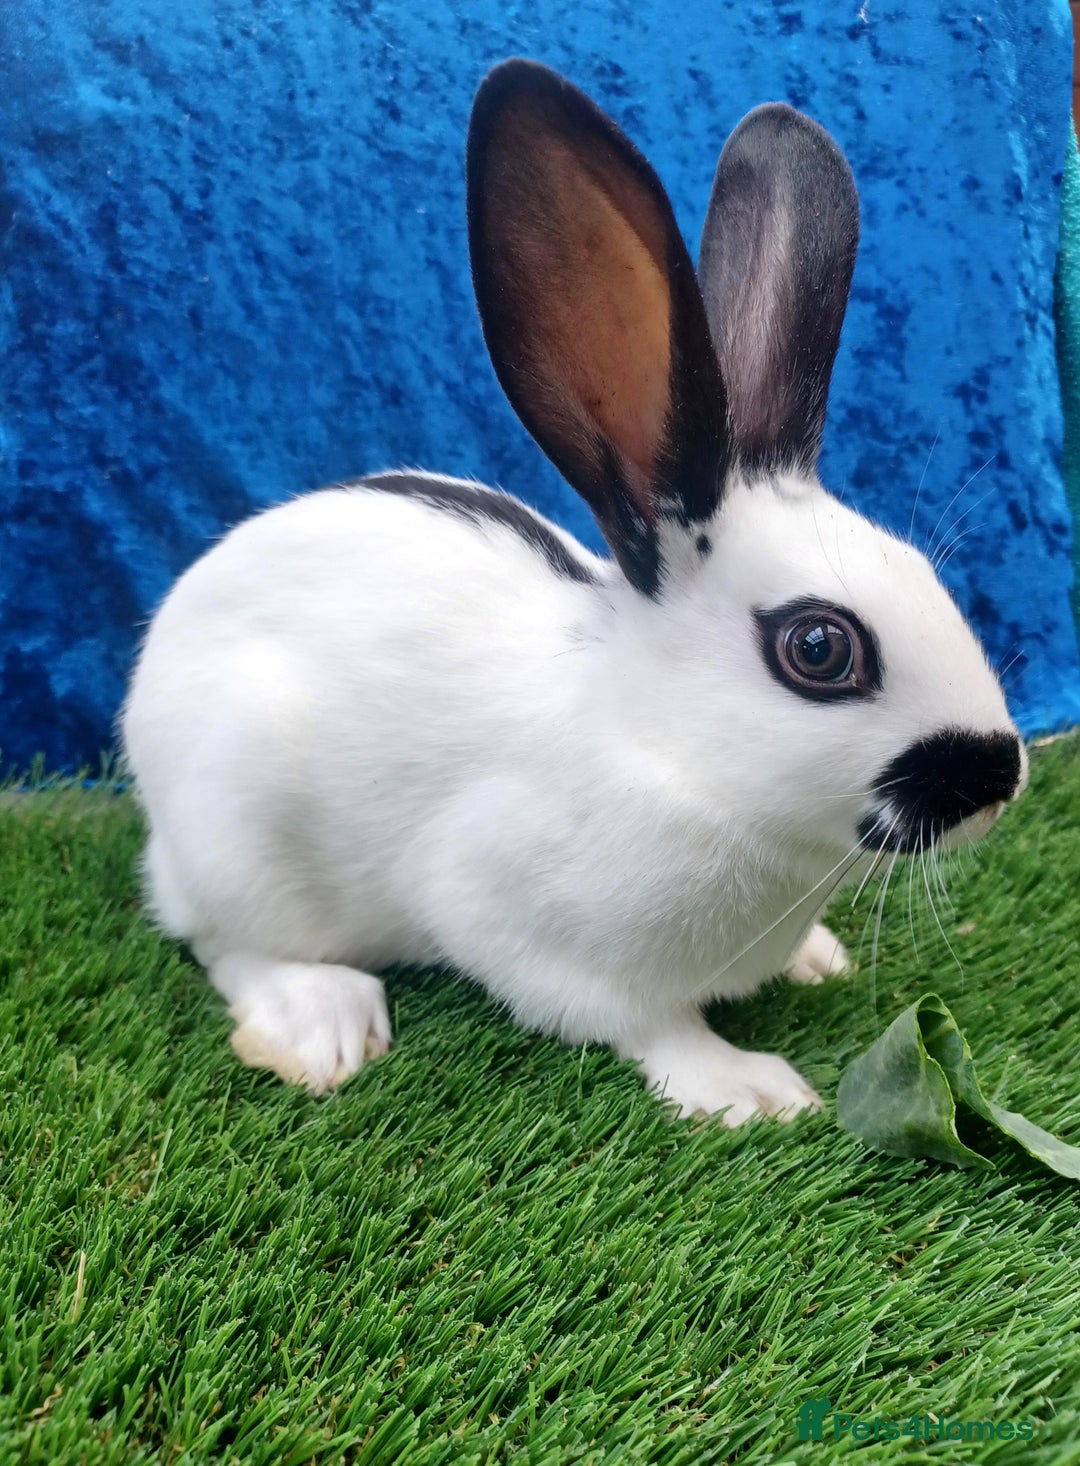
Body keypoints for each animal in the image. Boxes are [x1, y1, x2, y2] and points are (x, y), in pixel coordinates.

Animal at [122, 59, 1027, 1125]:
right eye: (819, 648)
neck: (670, 752)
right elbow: (644, 1025)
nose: (1001, 775)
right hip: (235, 827)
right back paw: (322, 1025)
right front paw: (750, 1089)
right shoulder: (519, 918)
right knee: (229, 944)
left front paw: (816, 959)